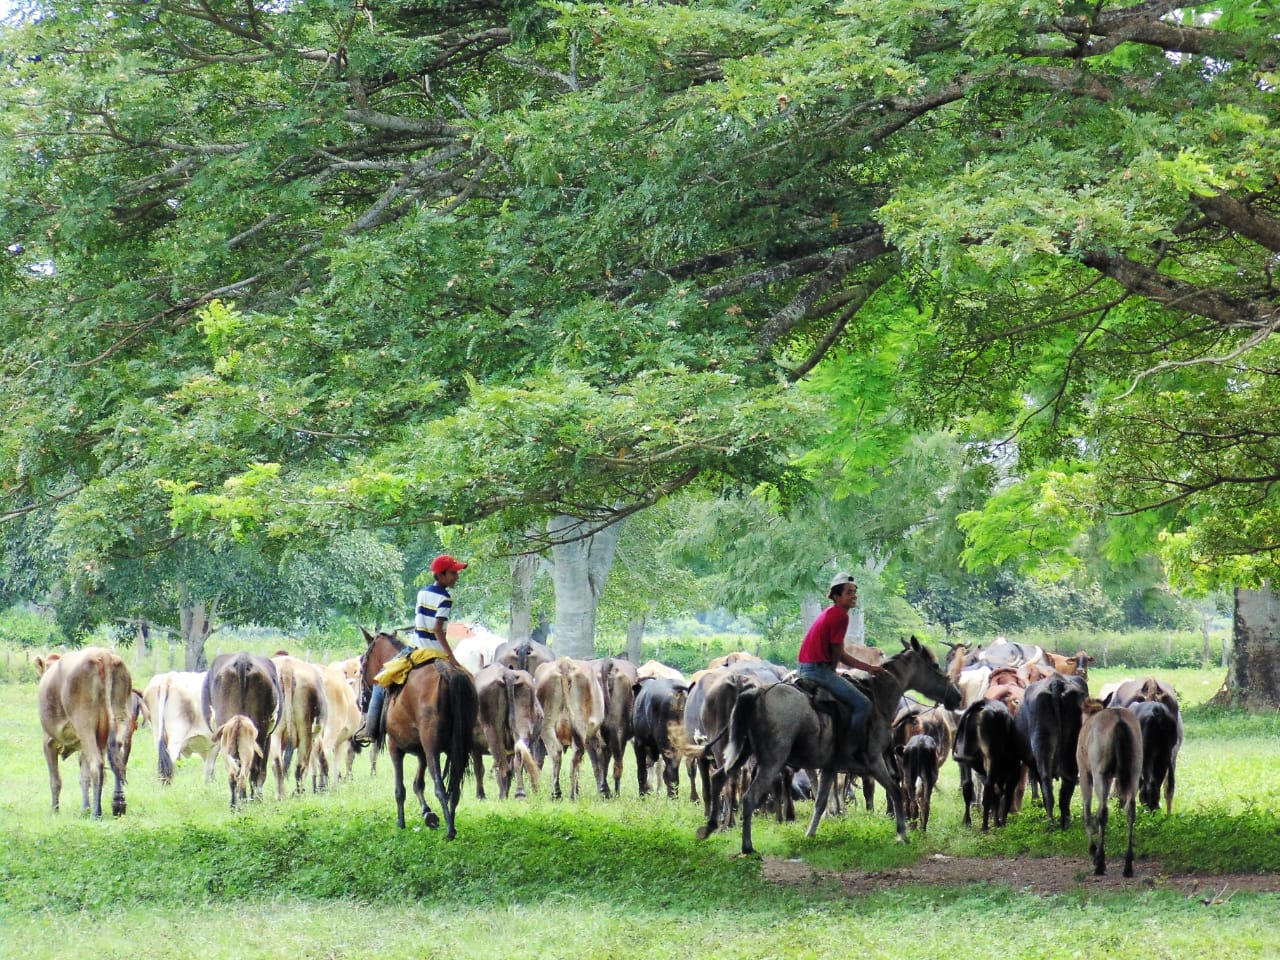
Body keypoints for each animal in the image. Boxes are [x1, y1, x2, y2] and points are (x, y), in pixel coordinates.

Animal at [36, 647, 141, 819]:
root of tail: (102, 654)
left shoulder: (48, 741)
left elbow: (55, 779)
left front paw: (54, 811)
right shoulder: (82, 744)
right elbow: (84, 776)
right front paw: (85, 808)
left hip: (84, 724)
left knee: (97, 764)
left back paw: (96, 814)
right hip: (120, 722)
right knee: (118, 761)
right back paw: (117, 803)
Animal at [358, 627, 478, 839]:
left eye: (363, 663)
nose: (361, 700)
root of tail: (448, 674)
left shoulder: (395, 747)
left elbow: (400, 789)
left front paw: (401, 823)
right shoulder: (421, 751)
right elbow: (418, 784)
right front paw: (428, 814)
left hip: (432, 748)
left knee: (439, 785)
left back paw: (449, 831)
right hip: (459, 748)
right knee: (454, 788)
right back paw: (452, 824)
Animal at [532, 660, 606, 798]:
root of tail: (564, 662)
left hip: (547, 726)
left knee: (556, 754)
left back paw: (556, 794)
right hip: (580, 726)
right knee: (575, 758)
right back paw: (573, 795)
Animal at [1013, 670, 1085, 829]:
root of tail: (1056, 682)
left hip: (1041, 742)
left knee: (1046, 781)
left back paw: (1050, 822)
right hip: (1073, 744)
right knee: (1067, 782)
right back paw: (1065, 821)